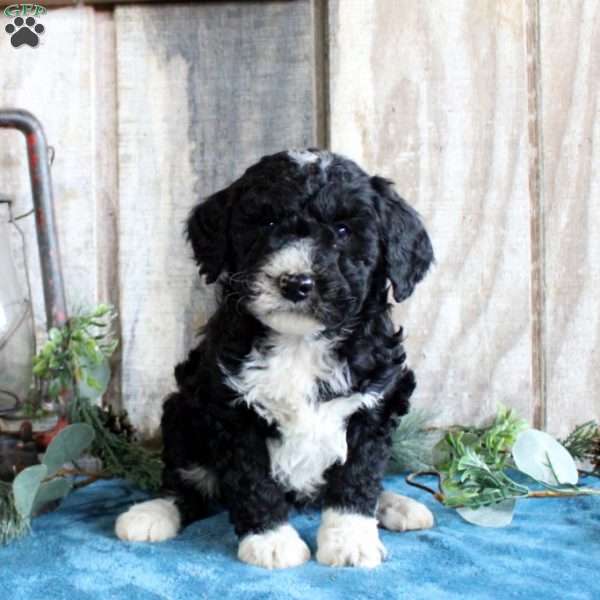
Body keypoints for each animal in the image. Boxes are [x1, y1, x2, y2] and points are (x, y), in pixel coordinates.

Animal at [116, 149, 436, 568]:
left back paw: (398, 505)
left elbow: (358, 476)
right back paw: (151, 513)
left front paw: (350, 539)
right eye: (266, 223)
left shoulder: (375, 406)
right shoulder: (231, 410)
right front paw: (271, 540)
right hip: (182, 413)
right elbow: (252, 480)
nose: (296, 283)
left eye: (343, 231)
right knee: (189, 484)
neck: (300, 343)